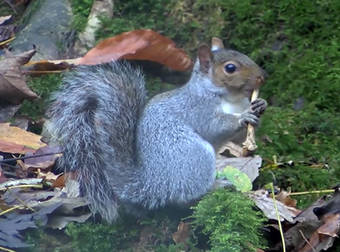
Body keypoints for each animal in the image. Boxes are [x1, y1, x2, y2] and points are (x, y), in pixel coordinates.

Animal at [46, 36, 266, 221]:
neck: (231, 98)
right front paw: (242, 118)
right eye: (230, 68)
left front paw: (260, 105)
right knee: (188, 196)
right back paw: (217, 186)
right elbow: (216, 126)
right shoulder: (198, 109)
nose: (262, 76)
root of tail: (154, 185)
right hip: (194, 156)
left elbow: (240, 138)